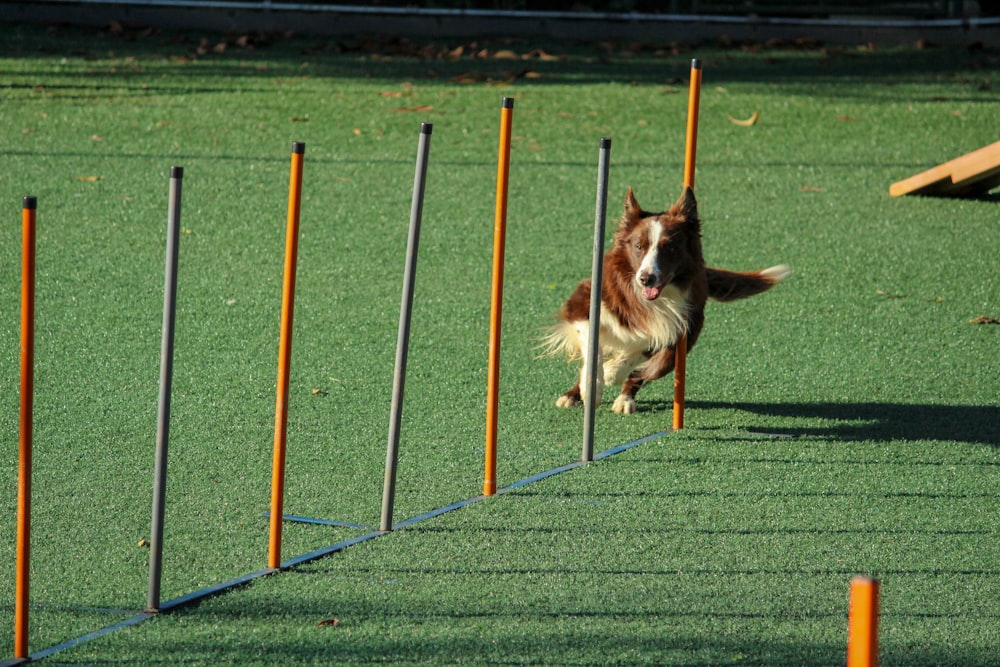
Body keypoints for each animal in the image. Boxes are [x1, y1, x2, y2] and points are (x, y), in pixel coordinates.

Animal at [544, 188, 792, 414]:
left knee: (644, 371)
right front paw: (592, 387)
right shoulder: (582, 303)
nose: (646, 278)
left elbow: (635, 356)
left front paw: (613, 370)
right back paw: (572, 395)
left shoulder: (672, 327)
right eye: (639, 246)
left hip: (678, 347)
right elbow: (592, 351)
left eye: (670, 247)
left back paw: (624, 398)